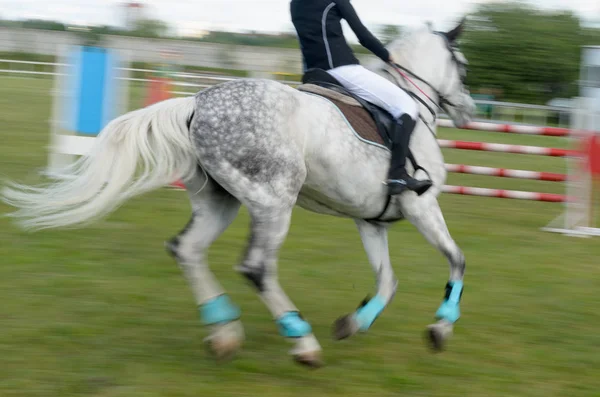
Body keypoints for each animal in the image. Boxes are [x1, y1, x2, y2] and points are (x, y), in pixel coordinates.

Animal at [2, 23, 476, 366]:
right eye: (463, 65)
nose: (469, 112)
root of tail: (196, 101)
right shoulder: (421, 205)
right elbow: (456, 259)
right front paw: (441, 328)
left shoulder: (370, 219)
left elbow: (387, 280)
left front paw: (353, 323)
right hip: (274, 202)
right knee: (256, 267)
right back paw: (301, 342)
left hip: (221, 201)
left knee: (187, 250)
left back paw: (224, 331)